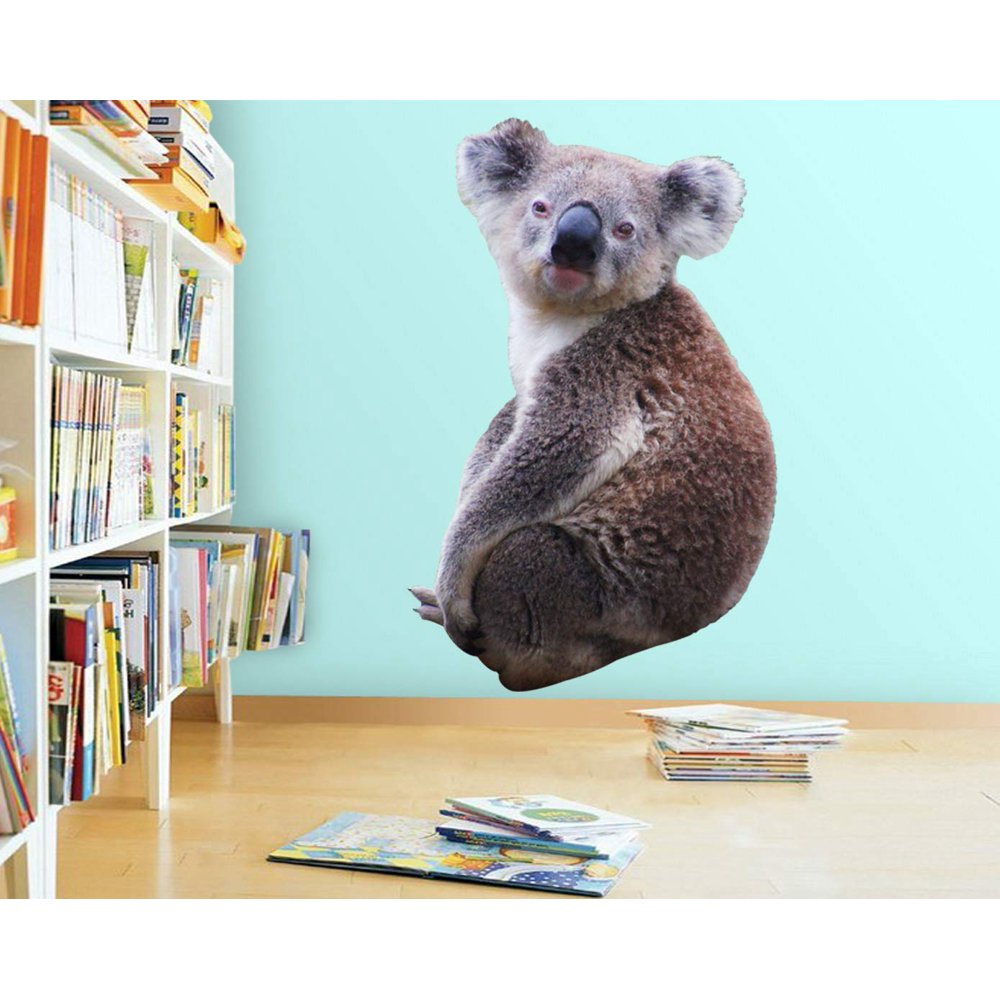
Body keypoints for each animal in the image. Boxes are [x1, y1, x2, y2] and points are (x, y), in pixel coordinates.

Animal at [411, 118, 776, 692]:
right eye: (540, 207)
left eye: (624, 229)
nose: (572, 245)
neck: (566, 318)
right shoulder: (528, 386)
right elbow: (498, 435)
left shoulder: (604, 375)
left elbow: (553, 455)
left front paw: (452, 593)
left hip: (587, 590)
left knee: (528, 557)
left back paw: (499, 654)